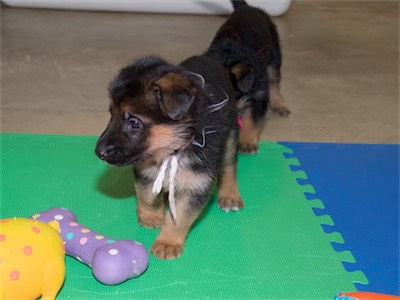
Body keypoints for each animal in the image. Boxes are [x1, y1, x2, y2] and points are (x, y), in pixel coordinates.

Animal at [95, 55, 242, 260]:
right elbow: (147, 195)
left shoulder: (196, 184)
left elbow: (179, 216)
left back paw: (230, 194)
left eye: (134, 122)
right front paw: (151, 215)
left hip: (230, 137)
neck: (174, 149)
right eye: (112, 115)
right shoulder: (146, 170)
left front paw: (167, 242)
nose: (98, 152)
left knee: (229, 165)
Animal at [206, 0, 290, 154]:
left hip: (274, 55)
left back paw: (279, 104)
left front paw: (247, 142)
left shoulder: (258, 94)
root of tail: (247, 6)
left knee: (275, 80)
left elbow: (251, 118)